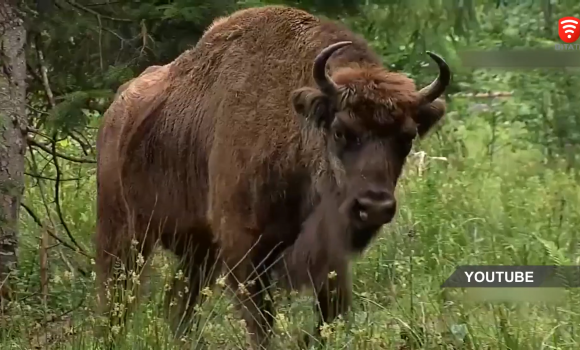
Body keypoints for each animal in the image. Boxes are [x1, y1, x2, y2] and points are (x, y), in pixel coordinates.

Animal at [95, 4, 450, 348]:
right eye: (340, 131)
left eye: (407, 137)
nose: (374, 207)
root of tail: (115, 112)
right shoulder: (243, 247)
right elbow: (261, 322)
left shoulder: (328, 255)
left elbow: (329, 312)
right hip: (124, 233)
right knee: (117, 298)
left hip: (198, 250)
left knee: (178, 303)